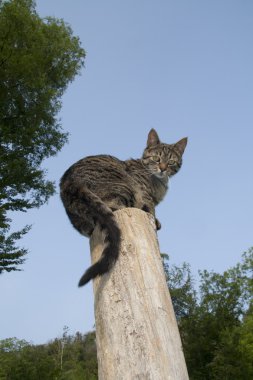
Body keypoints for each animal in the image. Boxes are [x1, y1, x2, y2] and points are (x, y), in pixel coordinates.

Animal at [58, 129, 186, 286]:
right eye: (156, 158)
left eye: (171, 162)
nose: (162, 169)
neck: (159, 181)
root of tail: (70, 182)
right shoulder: (145, 195)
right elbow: (150, 209)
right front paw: (155, 221)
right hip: (124, 187)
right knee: (114, 206)